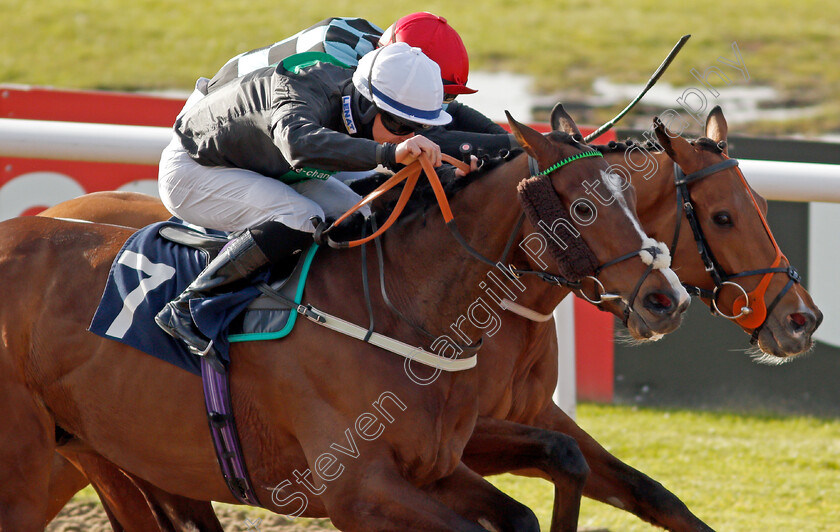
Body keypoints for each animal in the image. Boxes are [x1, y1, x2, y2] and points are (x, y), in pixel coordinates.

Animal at [41, 106, 820, 528]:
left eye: (762, 205)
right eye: (722, 217)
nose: (803, 319)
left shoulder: (533, 417)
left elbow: (643, 490)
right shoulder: (452, 442)